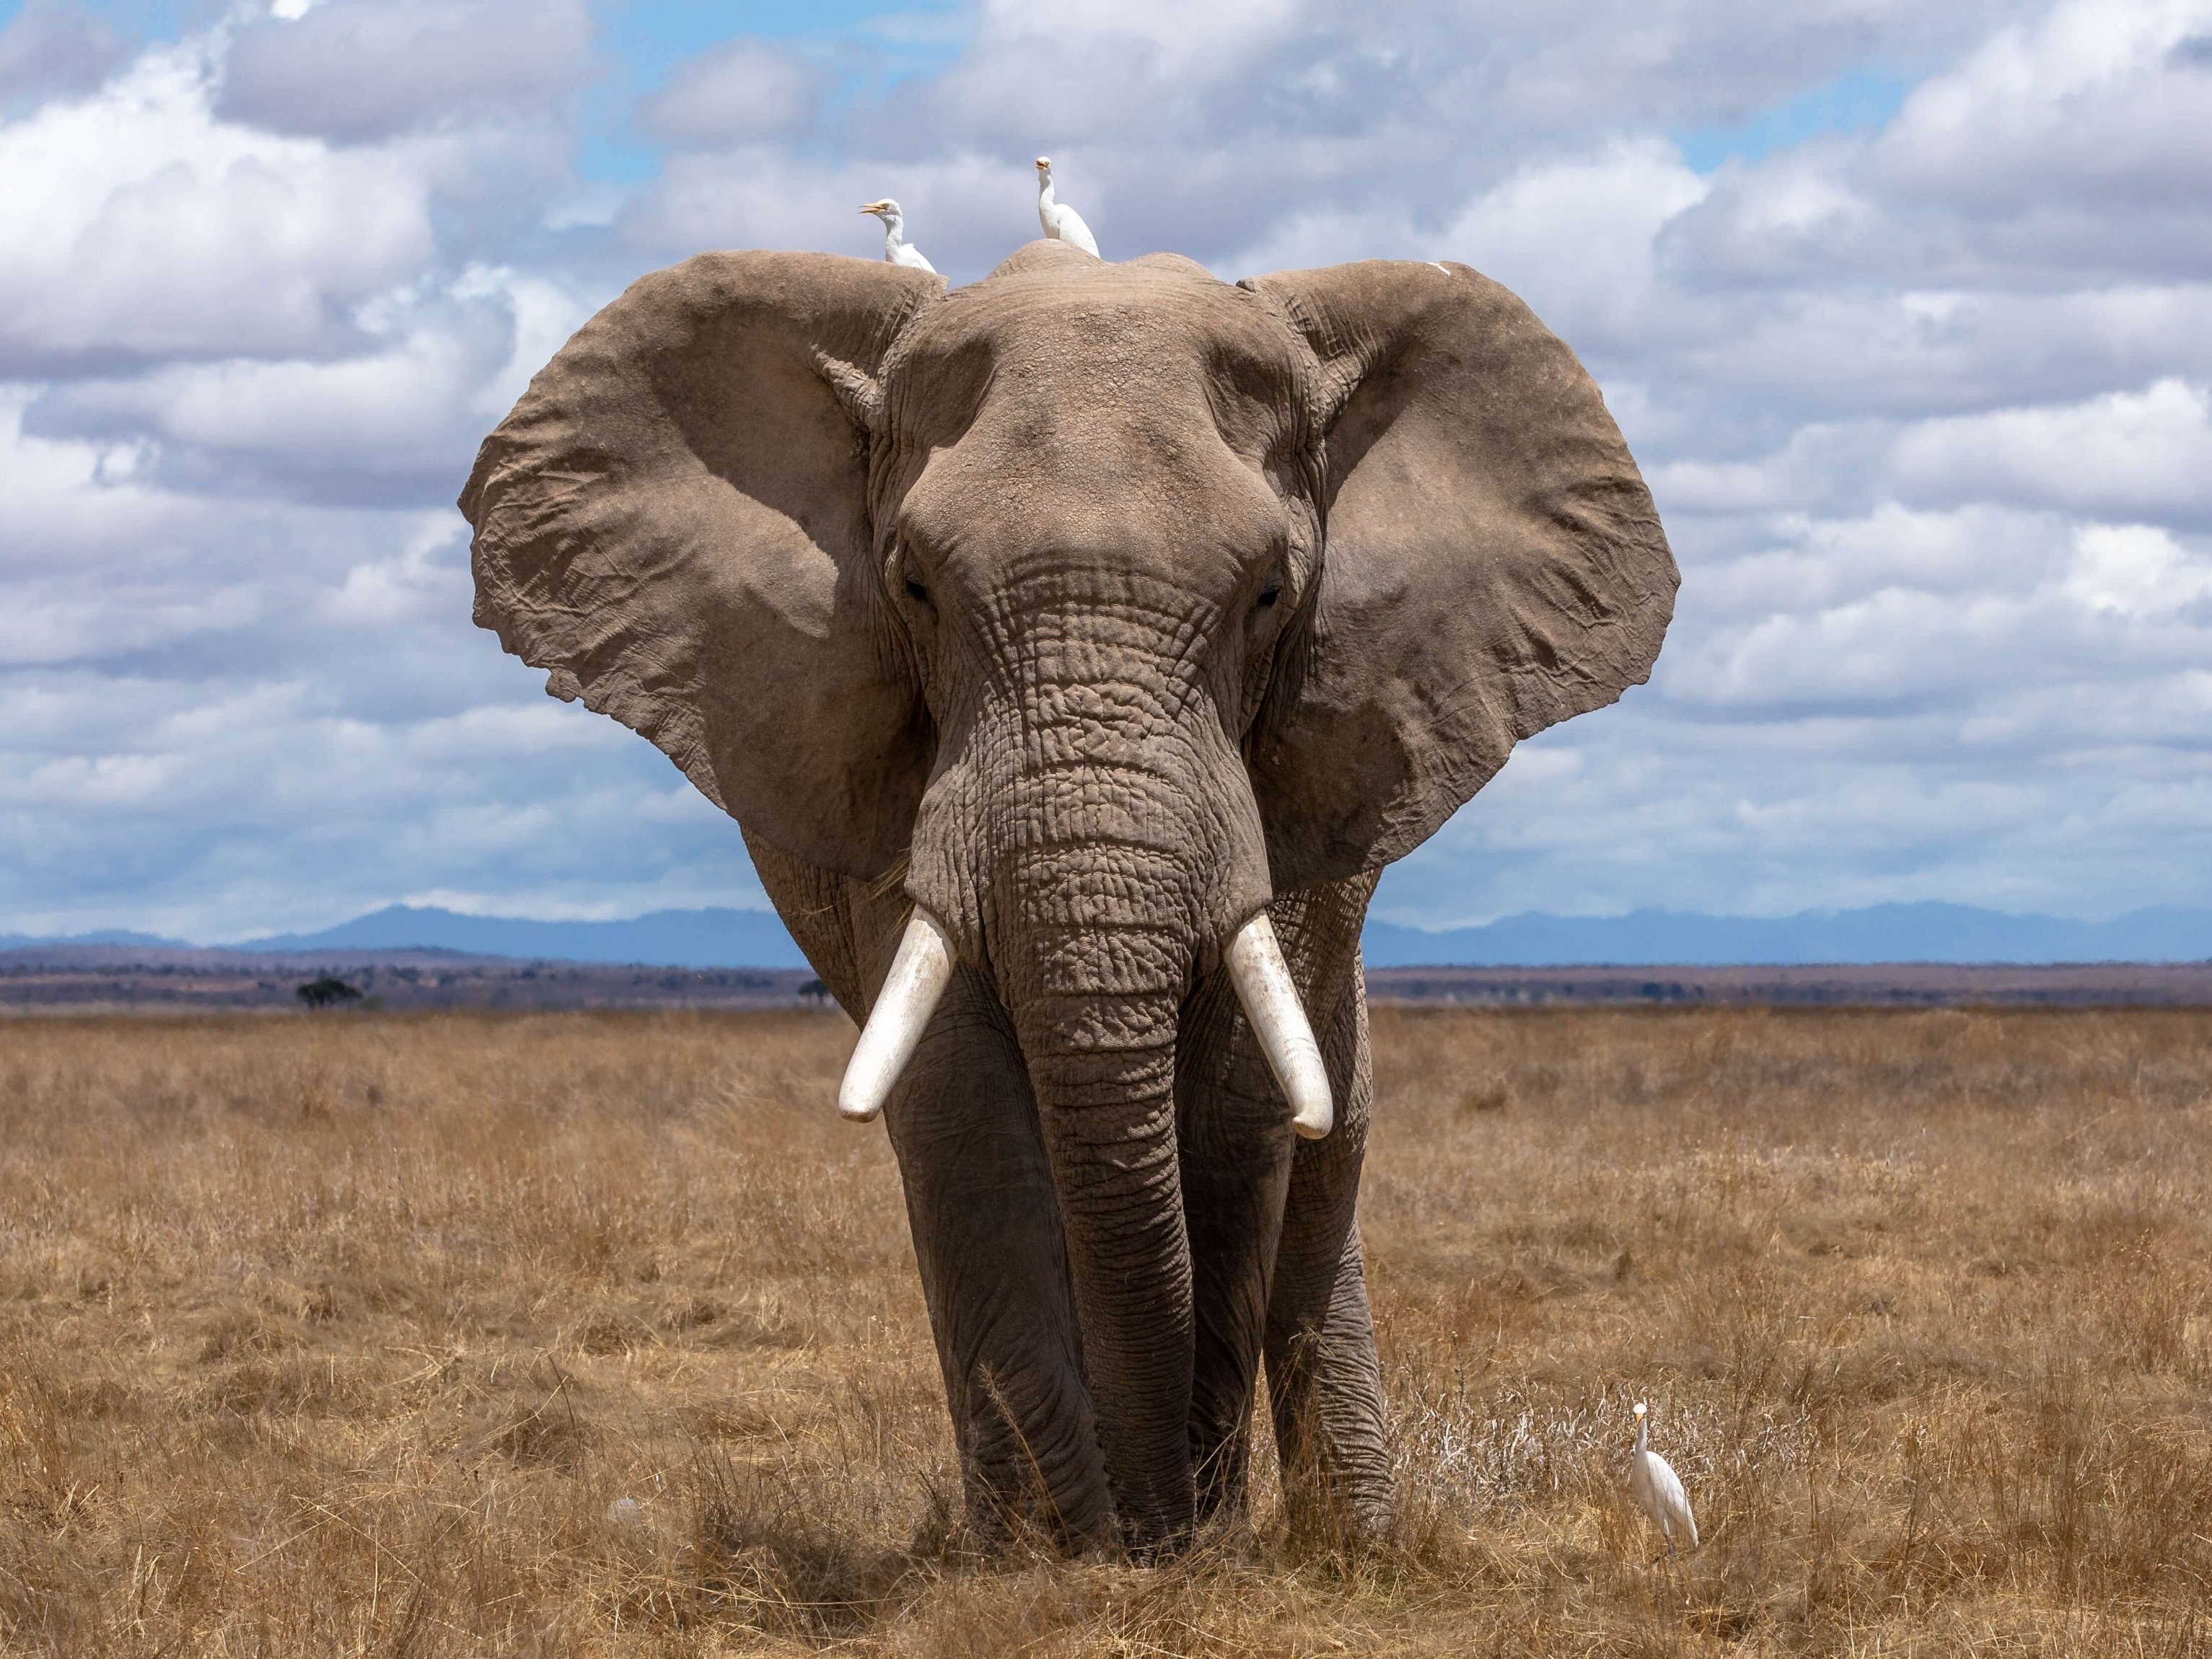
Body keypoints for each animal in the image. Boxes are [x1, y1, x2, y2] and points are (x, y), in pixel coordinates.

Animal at [466, 234, 1672, 1557]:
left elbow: (1238, 1114)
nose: (1158, 1531)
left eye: (1269, 594)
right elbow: (961, 1108)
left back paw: (1351, 1545)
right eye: (913, 587)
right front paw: (1058, 1562)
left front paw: (1185, 1546)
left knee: (1326, 1152)